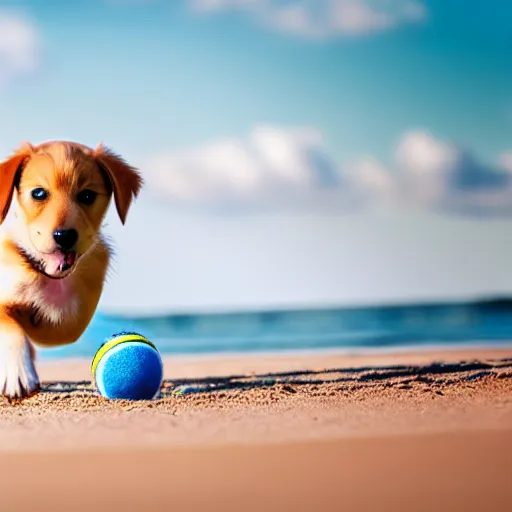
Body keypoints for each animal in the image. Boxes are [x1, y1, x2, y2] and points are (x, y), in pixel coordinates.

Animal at [0, 140, 142, 400]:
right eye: (38, 193)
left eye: (87, 195)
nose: (64, 236)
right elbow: (10, 323)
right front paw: (18, 373)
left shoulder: (73, 319)